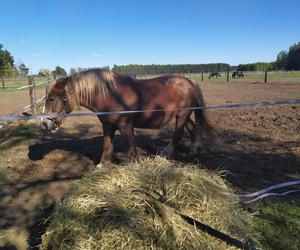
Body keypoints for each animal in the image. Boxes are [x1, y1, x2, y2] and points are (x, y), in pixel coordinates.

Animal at [41, 68, 216, 168]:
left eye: (51, 99)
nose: (44, 124)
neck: (111, 95)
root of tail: (190, 83)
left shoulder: (125, 125)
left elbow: (132, 147)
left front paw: (137, 165)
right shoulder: (108, 126)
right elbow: (107, 145)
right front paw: (103, 165)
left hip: (182, 114)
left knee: (178, 134)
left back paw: (165, 154)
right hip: (183, 115)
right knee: (193, 129)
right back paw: (193, 149)